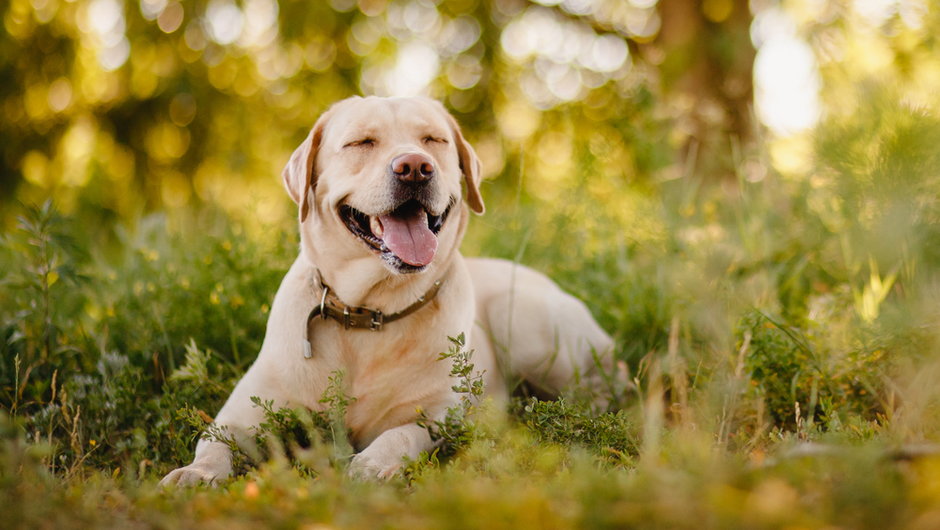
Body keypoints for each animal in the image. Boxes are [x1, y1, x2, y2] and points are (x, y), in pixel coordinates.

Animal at [160, 96, 616, 482]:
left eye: (433, 140)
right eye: (362, 142)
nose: (415, 166)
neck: (368, 312)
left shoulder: (437, 415)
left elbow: (400, 433)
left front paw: (373, 464)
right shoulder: (242, 414)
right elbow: (214, 442)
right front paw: (195, 474)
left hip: (523, 319)